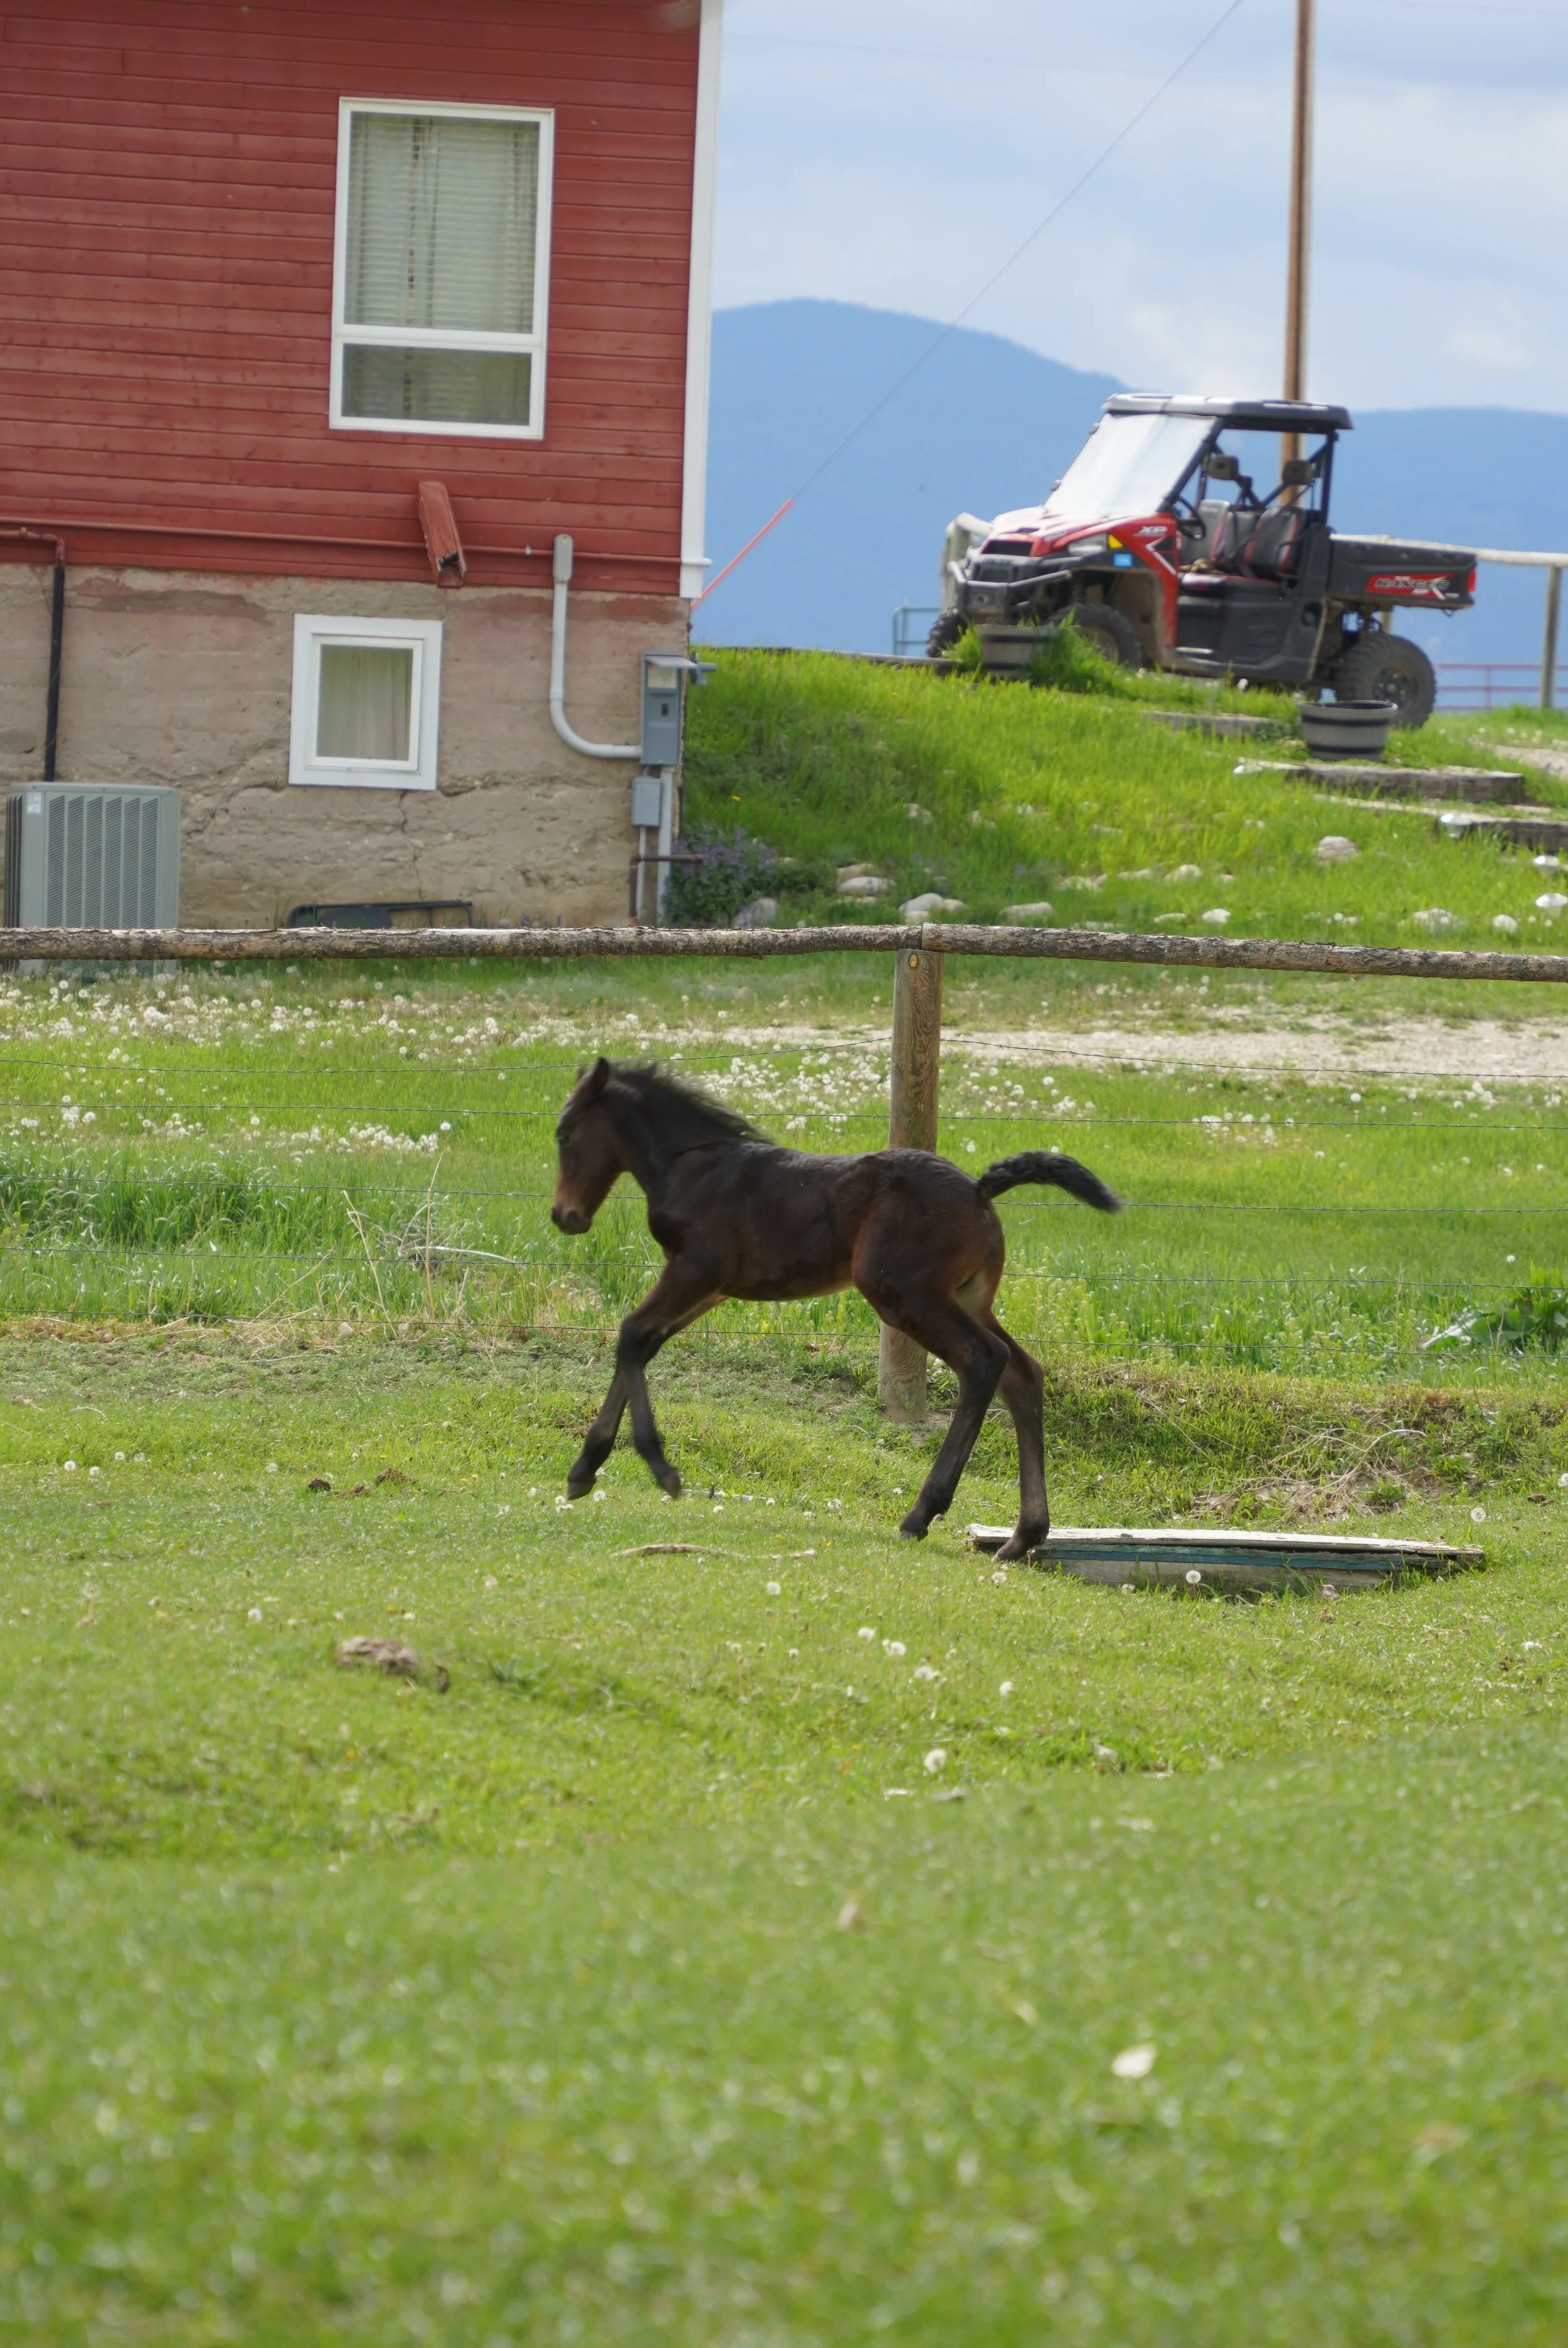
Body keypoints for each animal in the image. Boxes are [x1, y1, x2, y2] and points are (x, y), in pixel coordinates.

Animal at [551, 1057, 1119, 1562]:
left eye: (564, 1134)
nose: (564, 1216)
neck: (693, 1164)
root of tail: (980, 1191)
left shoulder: (696, 1270)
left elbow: (630, 1333)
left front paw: (659, 1467)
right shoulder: (714, 1287)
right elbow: (642, 1343)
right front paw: (584, 1469)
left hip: (906, 1295)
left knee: (984, 1361)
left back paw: (922, 1513)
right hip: (968, 1297)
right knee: (1023, 1374)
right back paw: (1024, 1535)